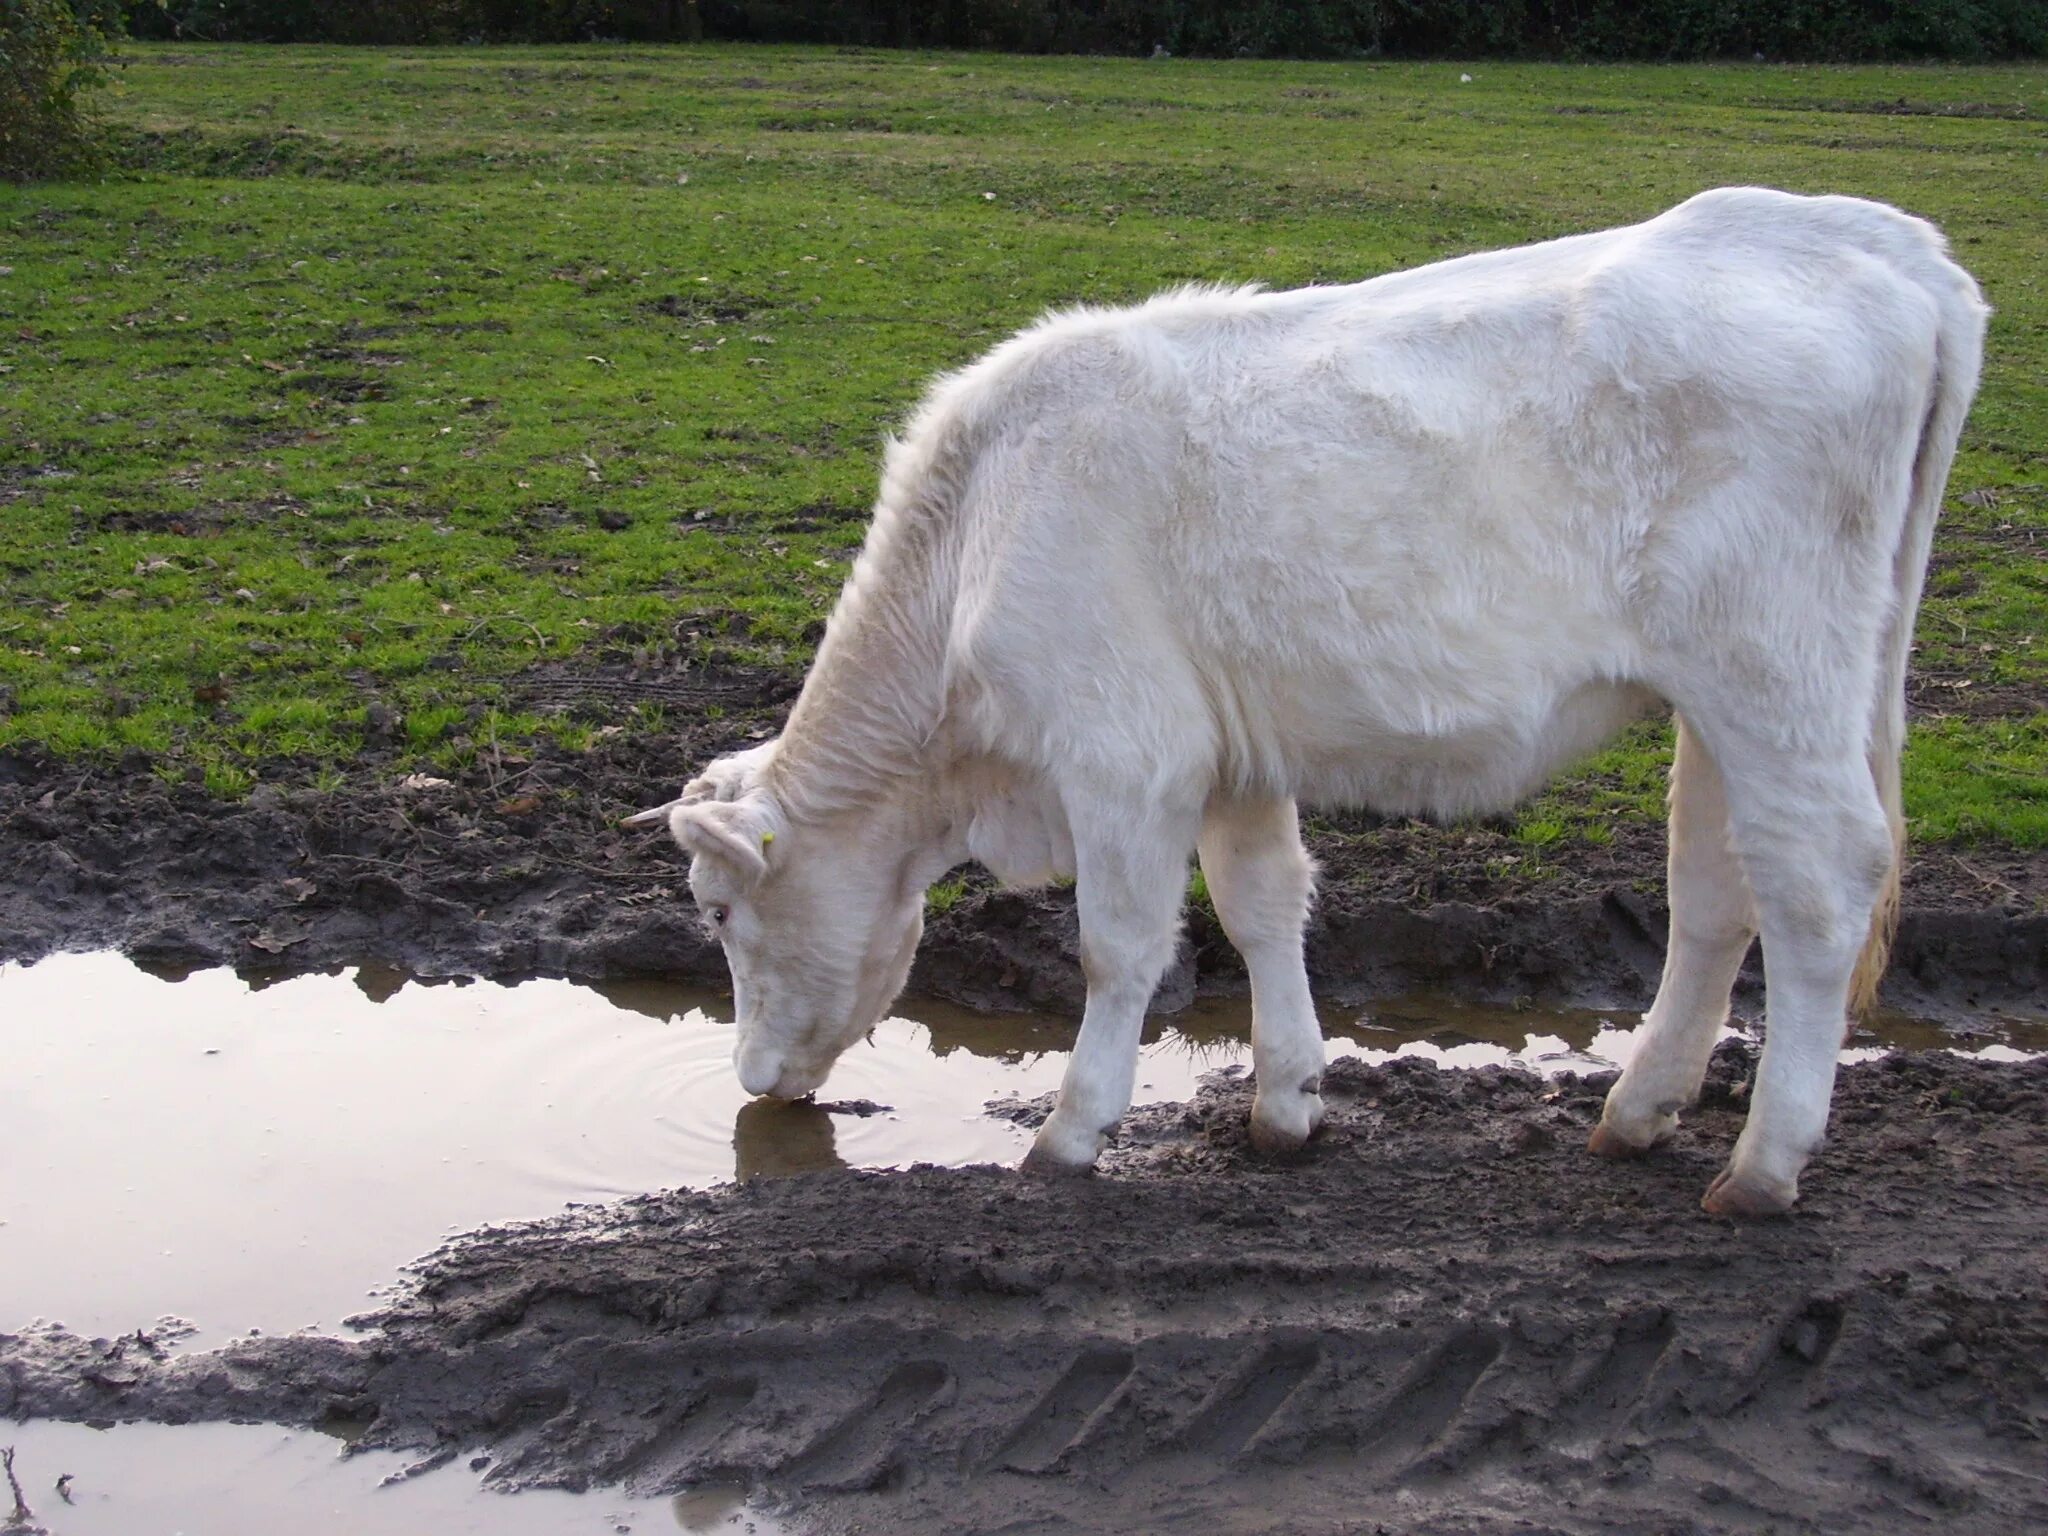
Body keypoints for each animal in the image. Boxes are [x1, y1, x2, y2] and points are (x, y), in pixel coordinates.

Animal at [626, 192, 1982, 1220]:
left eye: (718, 911)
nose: (752, 1078)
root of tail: (1872, 240)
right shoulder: (1229, 755)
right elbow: (1262, 906)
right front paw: (1284, 1105)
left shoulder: (1125, 752)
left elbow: (1118, 945)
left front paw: (1069, 1134)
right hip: (1718, 695)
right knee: (1712, 886)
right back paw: (1637, 1113)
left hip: (1773, 668)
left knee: (1817, 880)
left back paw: (1761, 1167)